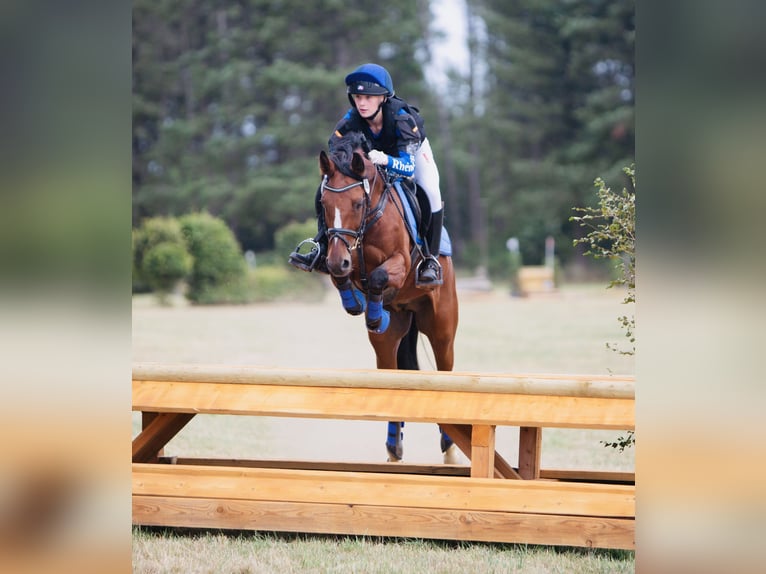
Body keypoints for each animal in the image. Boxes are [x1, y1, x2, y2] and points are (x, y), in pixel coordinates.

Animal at [320, 132, 460, 464]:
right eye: (324, 203)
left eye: (358, 203)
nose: (337, 260)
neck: (371, 219)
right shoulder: (343, 258)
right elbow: (343, 278)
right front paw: (358, 305)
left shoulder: (401, 262)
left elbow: (380, 277)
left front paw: (374, 314)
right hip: (391, 339)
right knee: (391, 371)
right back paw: (394, 448)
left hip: (441, 327)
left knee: (444, 370)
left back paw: (449, 450)